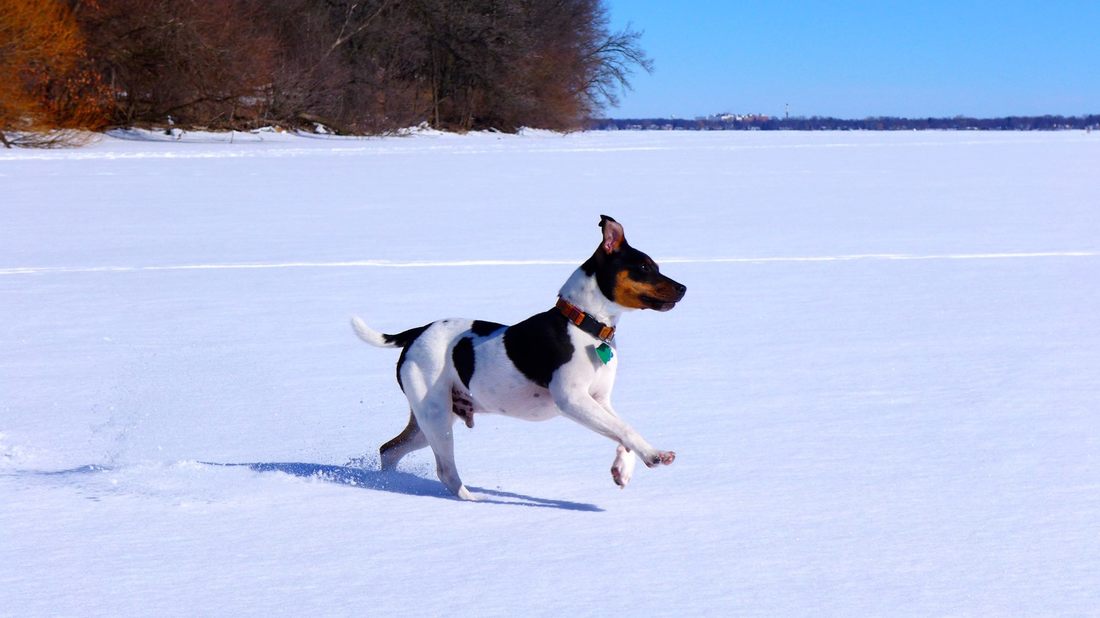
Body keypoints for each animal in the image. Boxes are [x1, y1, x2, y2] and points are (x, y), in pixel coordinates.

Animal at [349, 214, 686, 497]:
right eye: (644, 268)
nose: (683, 288)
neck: (584, 324)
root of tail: (415, 332)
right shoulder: (572, 400)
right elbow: (625, 429)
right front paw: (655, 455)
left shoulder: (600, 400)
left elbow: (621, 433)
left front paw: (622, 471)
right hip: (436, 416)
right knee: (445, 470)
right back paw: (474, 500)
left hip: (430, 420)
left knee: (389, 450)